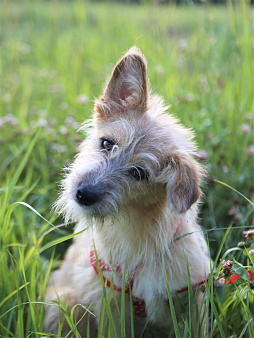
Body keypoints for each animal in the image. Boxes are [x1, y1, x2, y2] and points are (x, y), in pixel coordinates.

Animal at [44, 46, 210, 336]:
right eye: (106, 143)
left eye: (139, 173)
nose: (83, 194)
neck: (139, 233)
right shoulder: (107, 304)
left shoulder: (192, 294)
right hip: (63, 301)